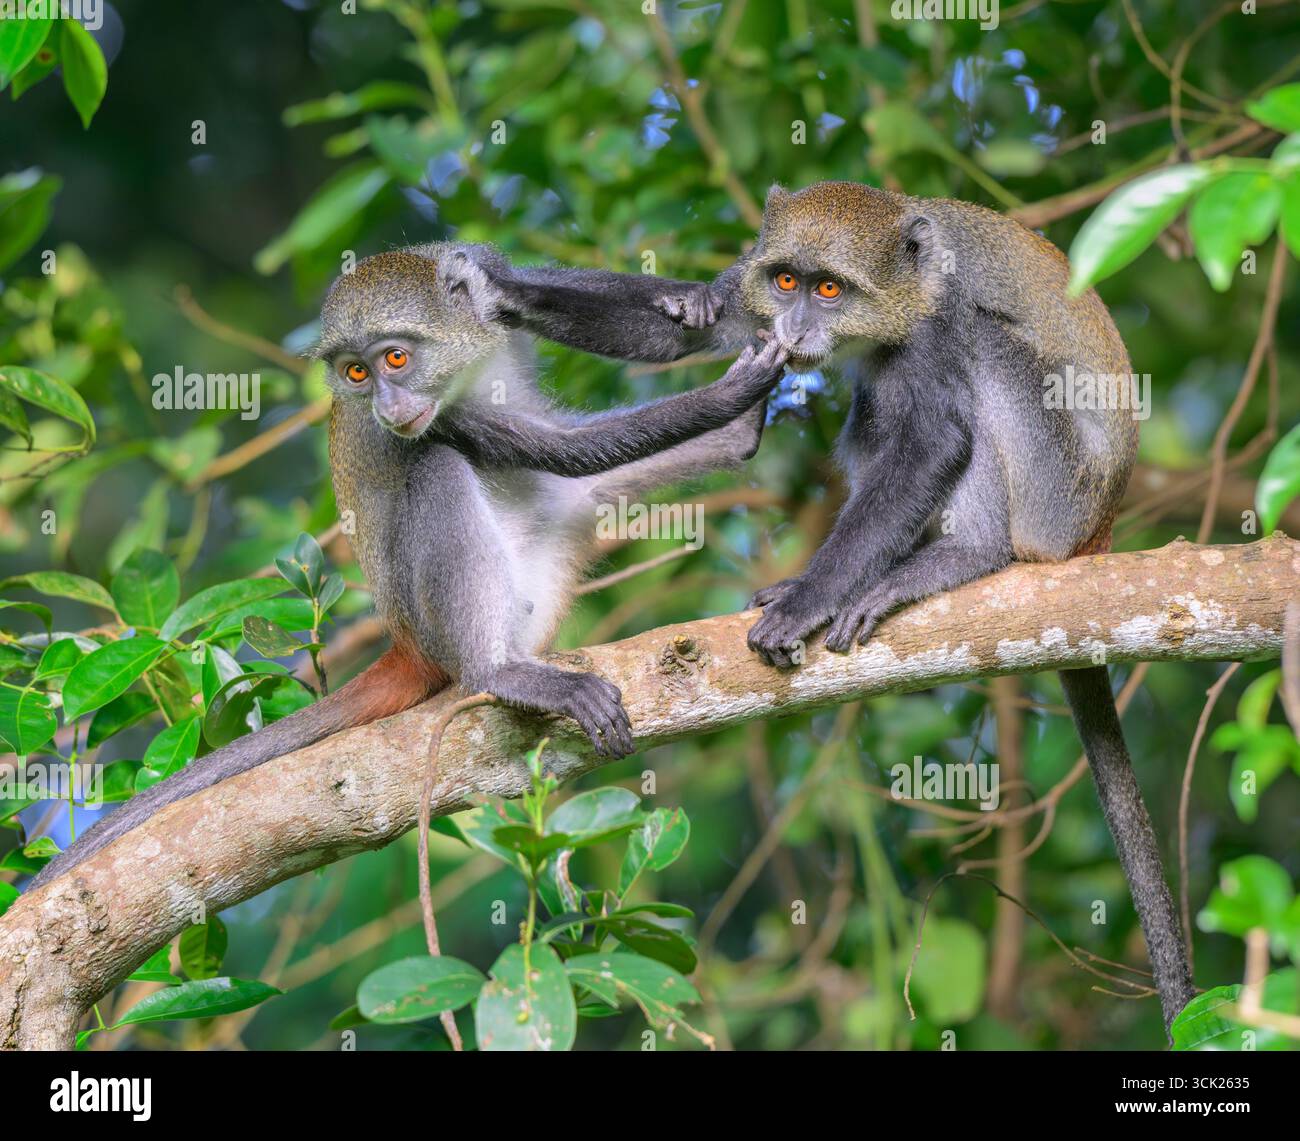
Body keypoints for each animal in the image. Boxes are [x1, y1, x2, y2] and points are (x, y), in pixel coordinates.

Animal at [29, 244, 789, 891]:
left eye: (394, 358)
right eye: (356, 373)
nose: (390, 406)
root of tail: (403, 639)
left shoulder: (475, 277)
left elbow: (553, 300)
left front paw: (696, 305)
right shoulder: (446, 418)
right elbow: (562, 448)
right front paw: (731, 390)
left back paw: (737, 437)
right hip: (437, 609)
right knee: (440, 469)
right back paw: (498, 672)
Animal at [441, 183, 1197, 1035]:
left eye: (831, 289)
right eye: (788, 282)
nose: (799, 328)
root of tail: (1098, 526)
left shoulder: (938, 320)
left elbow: (936, 436)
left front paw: (807, 599)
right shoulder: (754, 285)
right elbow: (685, 325)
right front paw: (504, 289)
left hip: (1053, 487)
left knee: (958, 384)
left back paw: (958, 557)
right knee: (872, 405)